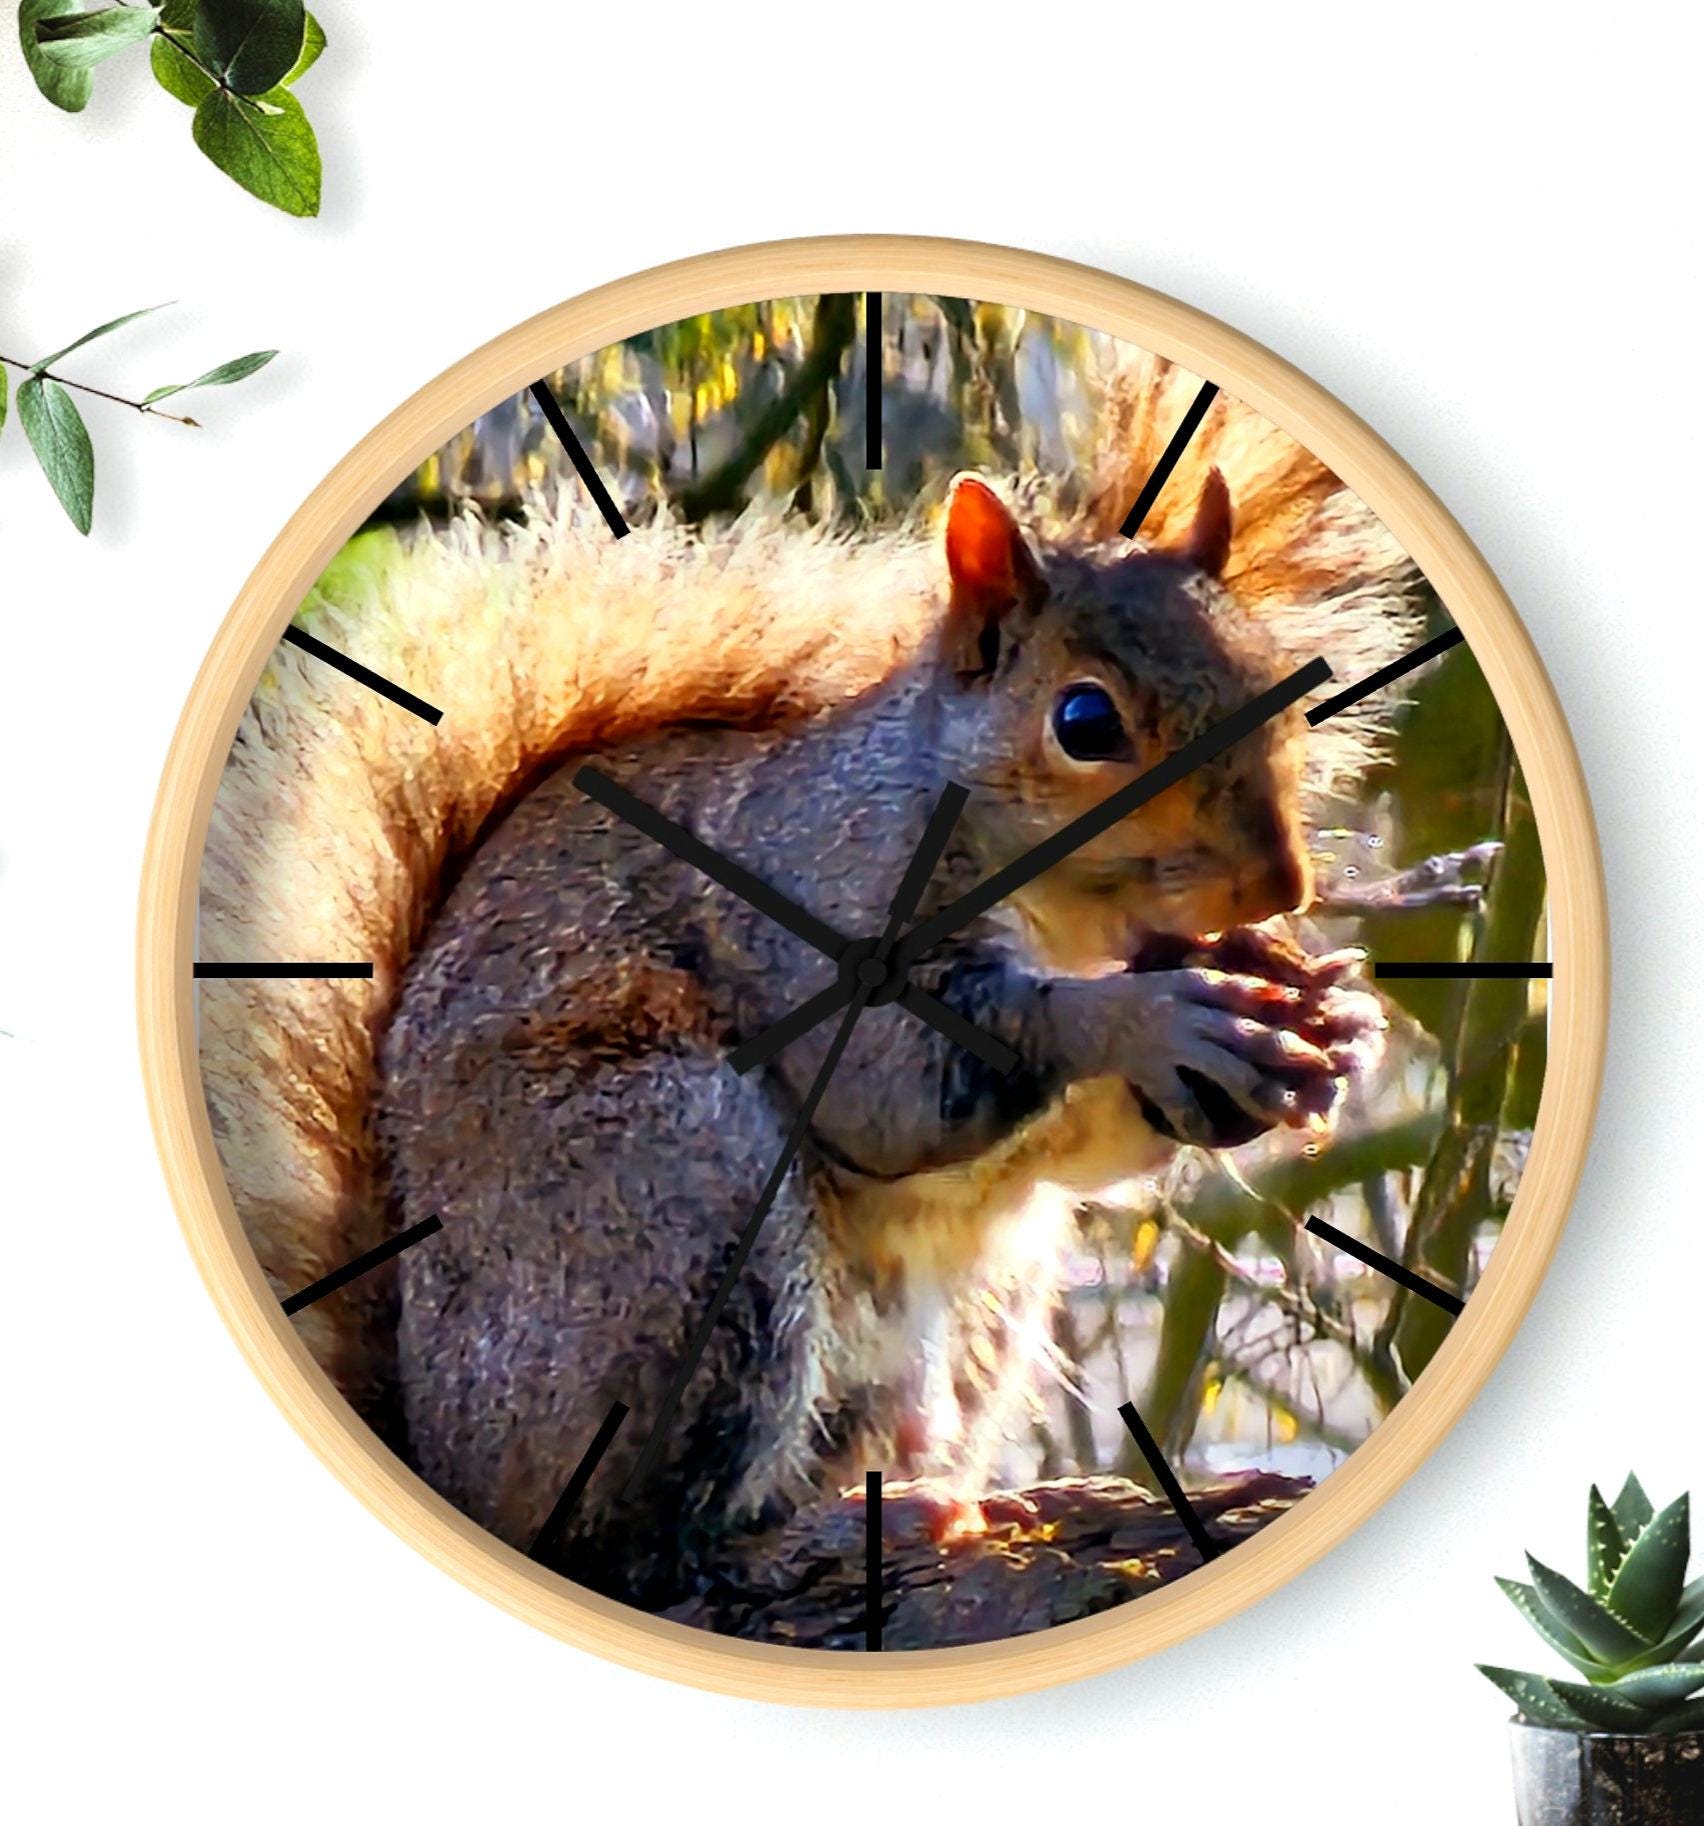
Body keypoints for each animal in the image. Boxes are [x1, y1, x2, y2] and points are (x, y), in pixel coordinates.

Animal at [197, 349, 1421, 1609]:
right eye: (1084, 720)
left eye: (1280, 678)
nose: (1278, 884)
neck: (1073, 918)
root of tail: (440, 1447)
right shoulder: (824, 898)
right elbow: (897, 1083)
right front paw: (1154, 1019)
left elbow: (1083, 1142)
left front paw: (1332, 1018)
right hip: (680, 1201)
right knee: (629, 1549)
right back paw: (798, 1540)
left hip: (970, 1309)